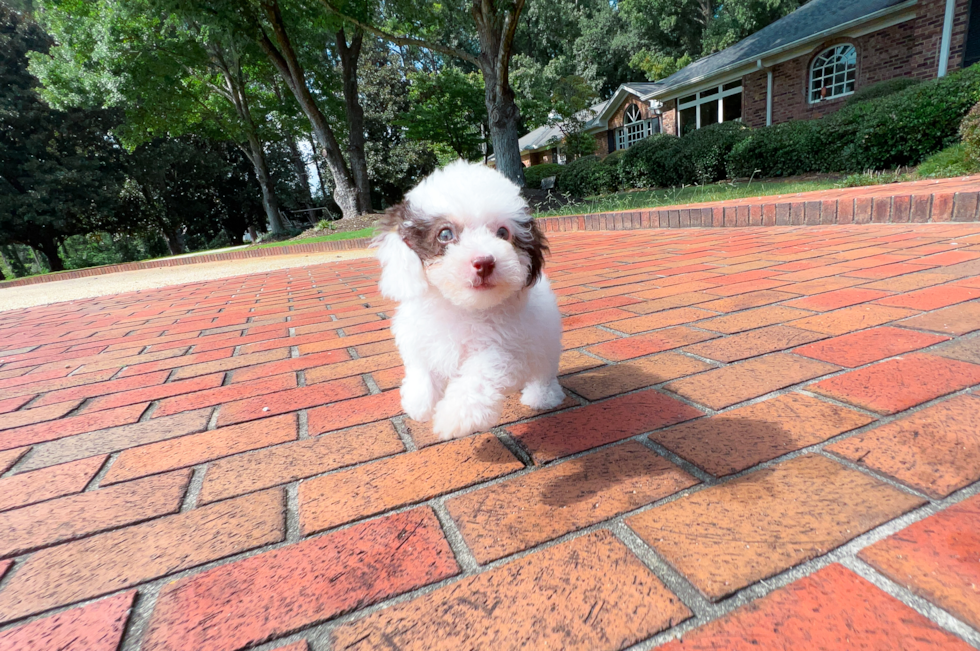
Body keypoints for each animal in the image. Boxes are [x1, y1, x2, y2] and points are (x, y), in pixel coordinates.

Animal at [376, 160, 564, 440]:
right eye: (445, 234)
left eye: (502, 232)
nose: (484, 262)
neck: (462, 307)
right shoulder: (419, 337)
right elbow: (420, 367)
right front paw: (419, 402)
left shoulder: (505, 348)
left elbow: (480, 373)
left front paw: (457, 415)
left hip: (546, 342)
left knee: (544, 371)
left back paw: (543, 396)